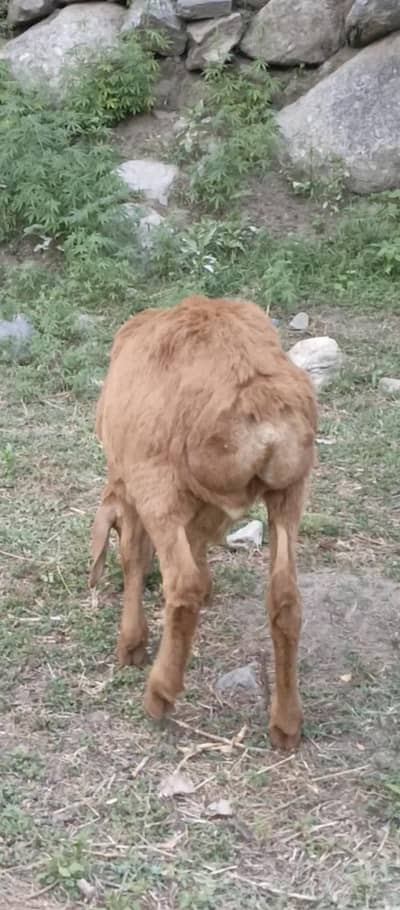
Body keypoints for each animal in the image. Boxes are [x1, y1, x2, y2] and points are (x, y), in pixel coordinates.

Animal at [89, 295, 317, 751]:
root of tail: (259, 400)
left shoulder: (135, 485)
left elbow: (133, 554)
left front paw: (131, 644)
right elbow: (198, 538)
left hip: (157, 482)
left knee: (182, 584)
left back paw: (159, 694)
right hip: (290, 488)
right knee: (285, 598)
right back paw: (286, 723)